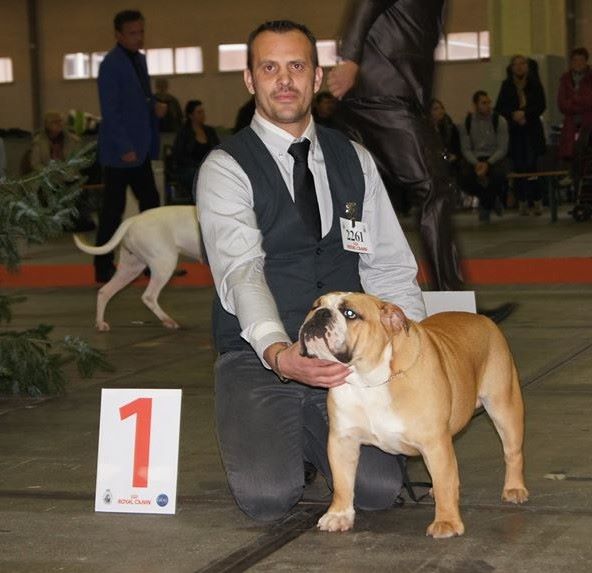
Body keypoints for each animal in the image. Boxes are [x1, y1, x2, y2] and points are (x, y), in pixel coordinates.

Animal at [73, 206, 204, 330]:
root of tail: (134, 219)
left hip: (130, 269)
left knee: (104, 292)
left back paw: (100, 324)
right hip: (165, 262)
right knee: (149, 297)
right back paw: (169, 321)